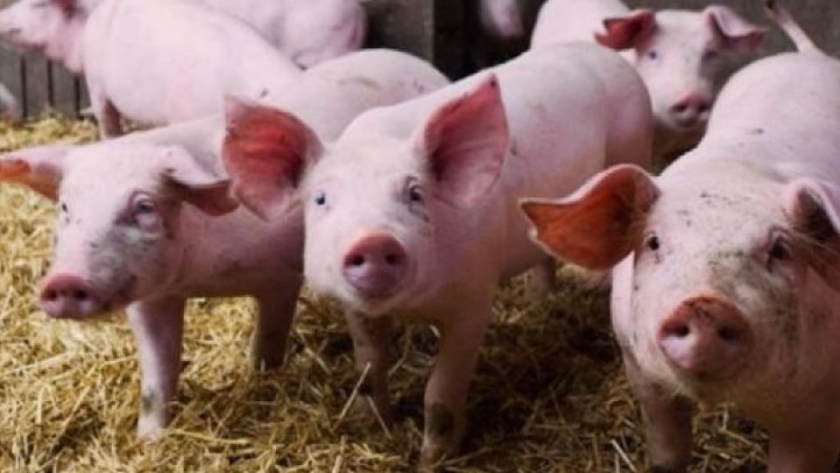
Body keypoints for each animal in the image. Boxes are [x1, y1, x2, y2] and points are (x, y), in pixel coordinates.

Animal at [0, 49, 449, 438]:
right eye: (65, 206)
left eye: (143, 206)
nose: (64, 281)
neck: (200, 276)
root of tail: (417, 62)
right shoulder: (151, 296)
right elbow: (156, 376)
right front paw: (149, 440)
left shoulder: (280, 275)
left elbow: (269, 339)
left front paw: (261, 378)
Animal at [222, 43, 653, 464]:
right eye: (321, 199)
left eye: (415, 194)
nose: (374, 241)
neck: (412, 307)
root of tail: (608, 56)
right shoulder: (357, 309)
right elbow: (369, 367)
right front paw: (371, 423)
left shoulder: (473, 302)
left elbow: (440, 394)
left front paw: (432, 460)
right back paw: (539, 300)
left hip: (632, 147)